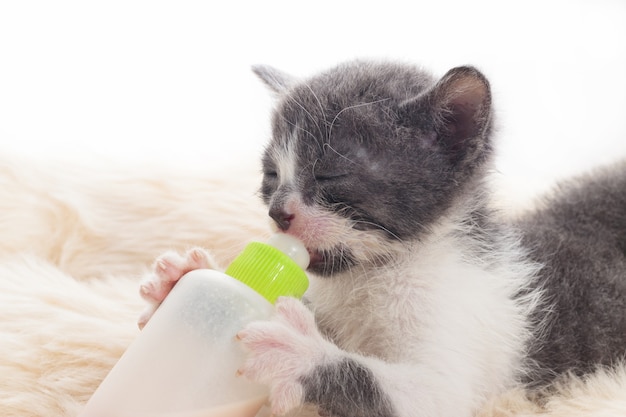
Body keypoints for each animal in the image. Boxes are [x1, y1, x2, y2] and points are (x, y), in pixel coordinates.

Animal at [138, 59, 624, 416]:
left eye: (330, 174)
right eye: (271, 175)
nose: (278, 212)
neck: (374, 275)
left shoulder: (466, 358)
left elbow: (417, 392)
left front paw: (298, 352)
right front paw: (180, 283)